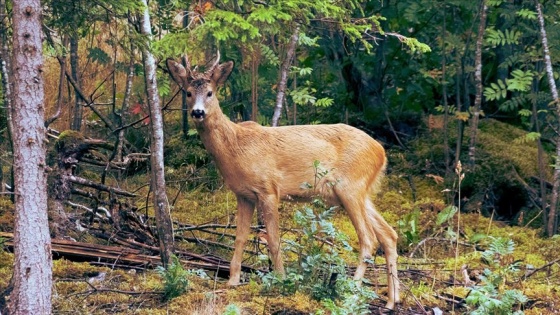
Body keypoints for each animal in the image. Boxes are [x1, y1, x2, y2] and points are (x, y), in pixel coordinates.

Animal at [164, 54, 400, 312]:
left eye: (210, 93)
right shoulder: (243, 194)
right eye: (187, 92)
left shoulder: (268, 189)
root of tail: (381, 152)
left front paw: (280, 279)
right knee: (389, 234)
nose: (197, 112)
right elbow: (240, 237)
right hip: (361, 192)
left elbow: (274, 238)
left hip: (350, 187)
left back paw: (352, 290)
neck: (235, 148)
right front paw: (233, 281)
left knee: (368, 239)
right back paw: (392, 300)